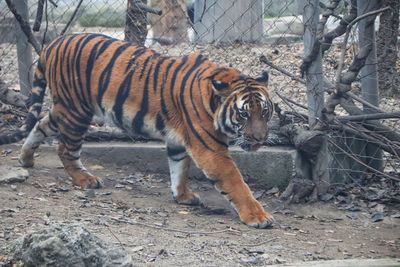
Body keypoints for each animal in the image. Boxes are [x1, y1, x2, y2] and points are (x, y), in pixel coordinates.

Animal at [0, 33, 276, 229]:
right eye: (243, 114)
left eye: (264, 112)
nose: (260, 138)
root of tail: (54, 42)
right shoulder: (210, 149)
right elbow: (235, 182)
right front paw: (258, 216)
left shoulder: (179, 141)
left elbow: (179, 168)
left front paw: (182, 195)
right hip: (76, 111)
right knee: (65, 149)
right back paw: (84, 179)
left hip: (66, 108)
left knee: (41, 123)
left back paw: (25, 158)